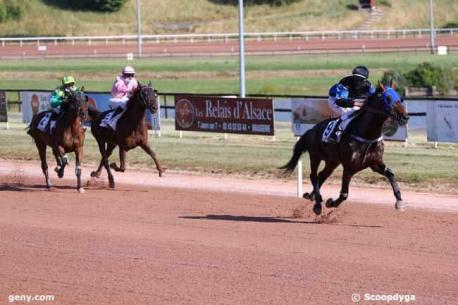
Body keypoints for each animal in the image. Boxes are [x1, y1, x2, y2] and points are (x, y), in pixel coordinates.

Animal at [280, 81, 410, 214]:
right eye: (388, 98)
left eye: (400, 98)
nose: (405, 117)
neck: (366, 134)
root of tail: (312, 130)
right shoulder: (349, 167)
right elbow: (344, 194)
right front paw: (330, 202)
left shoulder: (375, 163)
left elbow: (391, 174)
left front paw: (400, 201)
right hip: (315, 156)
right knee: (314, 176)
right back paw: (318, 203)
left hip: (332, 161)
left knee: (321, 176)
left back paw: (312, 196)